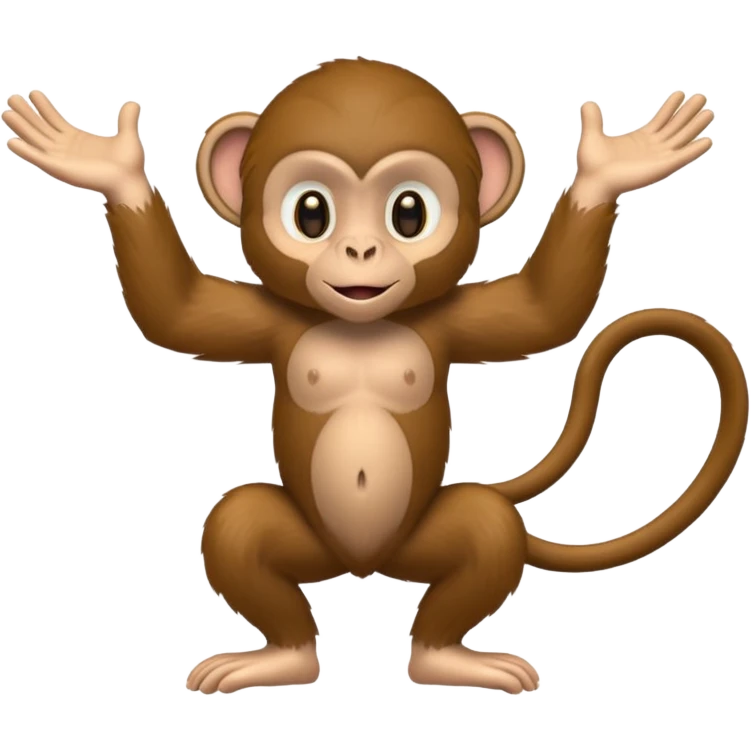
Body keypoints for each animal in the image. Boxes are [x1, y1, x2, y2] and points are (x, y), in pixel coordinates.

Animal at [3, 60, 747, 696]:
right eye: (310, 212)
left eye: (409, 212)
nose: (360, 251)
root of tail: (363, 567)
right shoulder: (271, 320)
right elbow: (175, 313)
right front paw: (111, 169)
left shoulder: (450, 320)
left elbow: (545, 312)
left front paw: (609, 170)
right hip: (310, 540)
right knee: (239, 527)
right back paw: (286, 656)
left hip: (418, 538)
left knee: (485, 528)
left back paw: (442, 656)